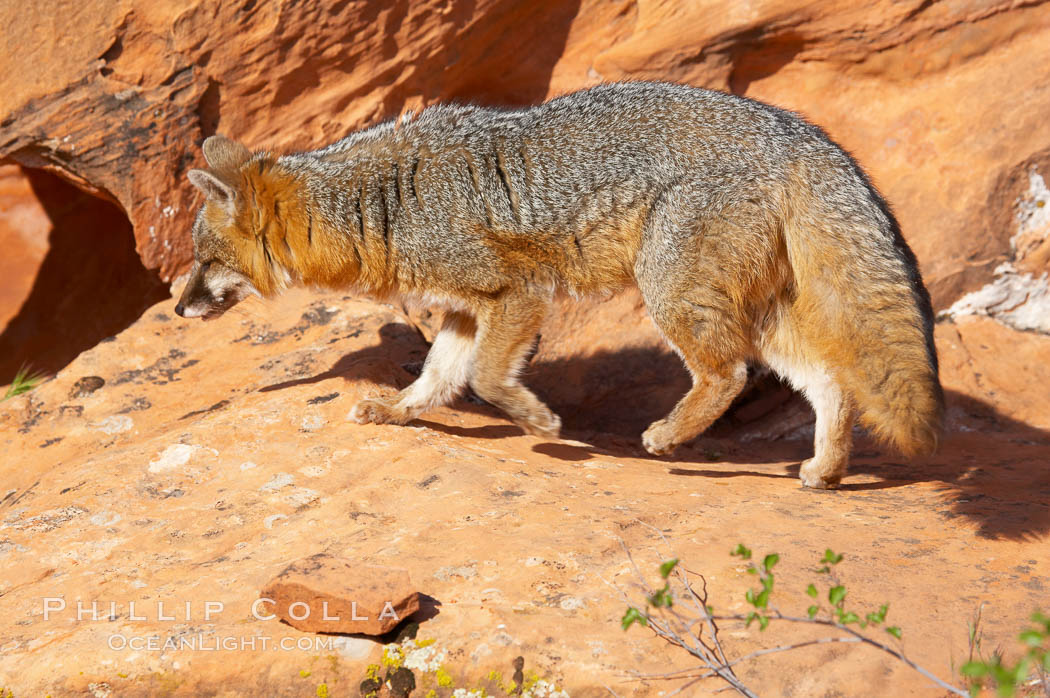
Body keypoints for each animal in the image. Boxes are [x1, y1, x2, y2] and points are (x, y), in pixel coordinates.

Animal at [174, 81, 944, 487]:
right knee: (828, 381)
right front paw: (396, 411)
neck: (379, 203)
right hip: (754, 309)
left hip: (670, 291)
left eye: (205, 261)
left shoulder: (516, 295)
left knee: (727, 374)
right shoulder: (465, 311)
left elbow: (488, 377)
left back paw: (667, 437)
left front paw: (541, 423)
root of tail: (792, 127)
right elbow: (438, 377)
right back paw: (825, 469)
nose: (178, 307)